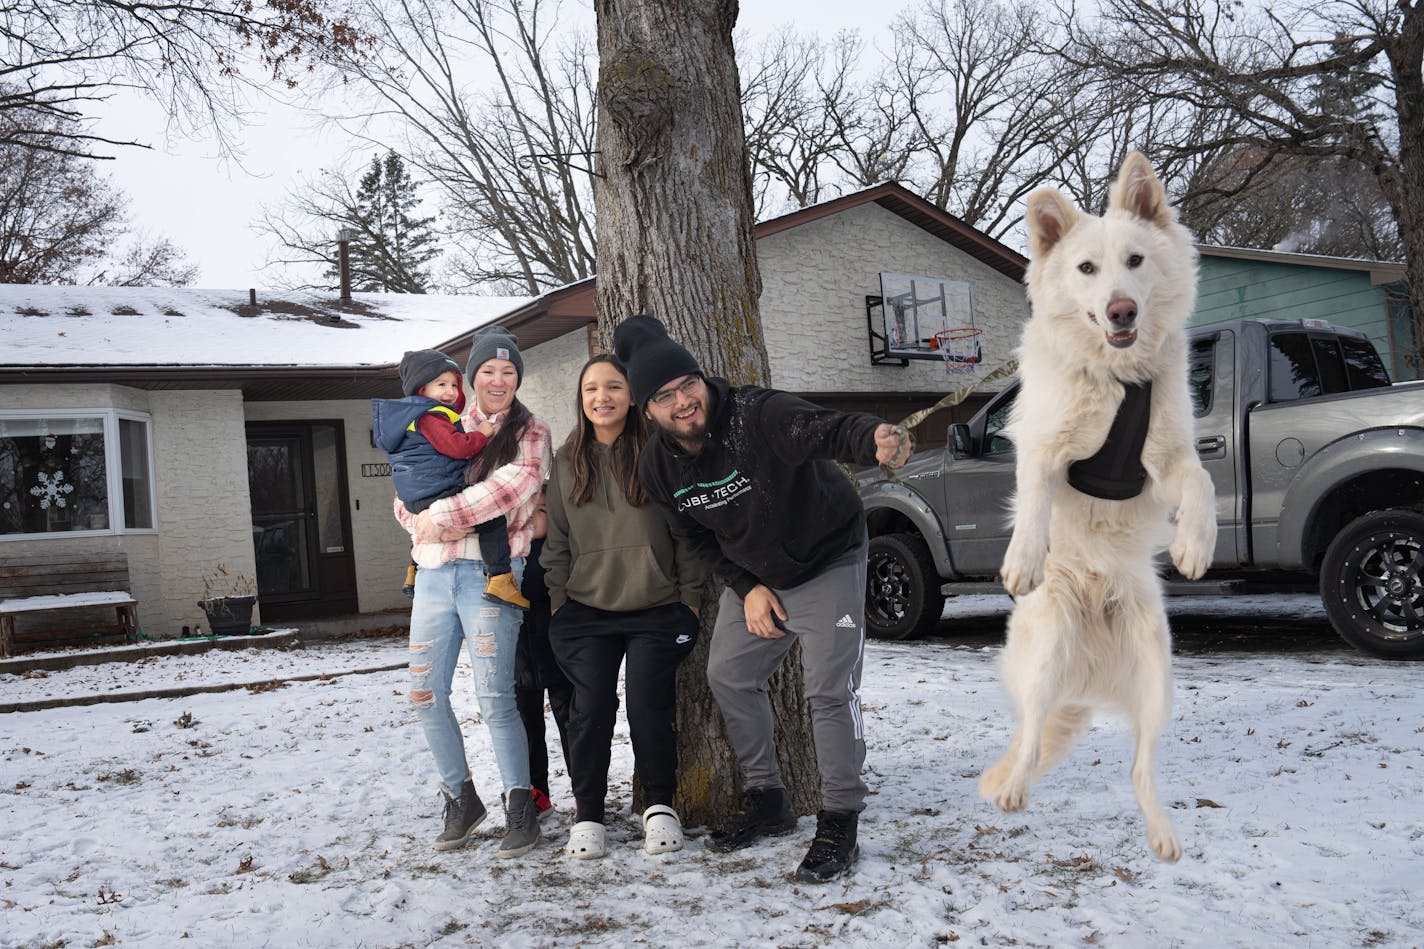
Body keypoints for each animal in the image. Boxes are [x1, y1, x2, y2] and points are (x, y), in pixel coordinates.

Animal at [985, 151, 1218, 860]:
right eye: (1087, 269)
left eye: (1135, 261)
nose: (1120, 311)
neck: (1119, 380)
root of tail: (1086, 677)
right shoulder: (1045, 446)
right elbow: (1035, 495)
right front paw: (1023, 560)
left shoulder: (1167, 459)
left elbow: (1202, 481)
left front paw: (1195, 544)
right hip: (1046, 653)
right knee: (1031, 737)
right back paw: (1013, 788)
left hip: (1158, 678)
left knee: (1140, 767)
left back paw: (1162, 831)